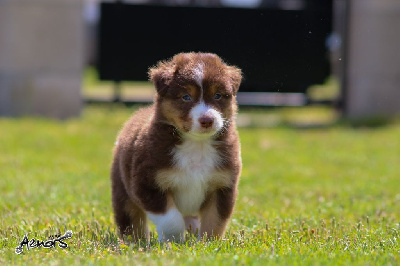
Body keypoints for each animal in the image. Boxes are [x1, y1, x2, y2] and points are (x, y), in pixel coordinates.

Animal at [111, 52, 242, 243]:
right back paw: (134, 242)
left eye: (217, 95)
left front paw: (208, 244)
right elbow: (171, 219)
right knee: (131, 221)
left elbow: (214, 221)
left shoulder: (223, 185)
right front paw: (173, 242)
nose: (207, 120)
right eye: (186, 97)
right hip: (123, 191)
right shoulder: (148, 183)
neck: (197, 144)